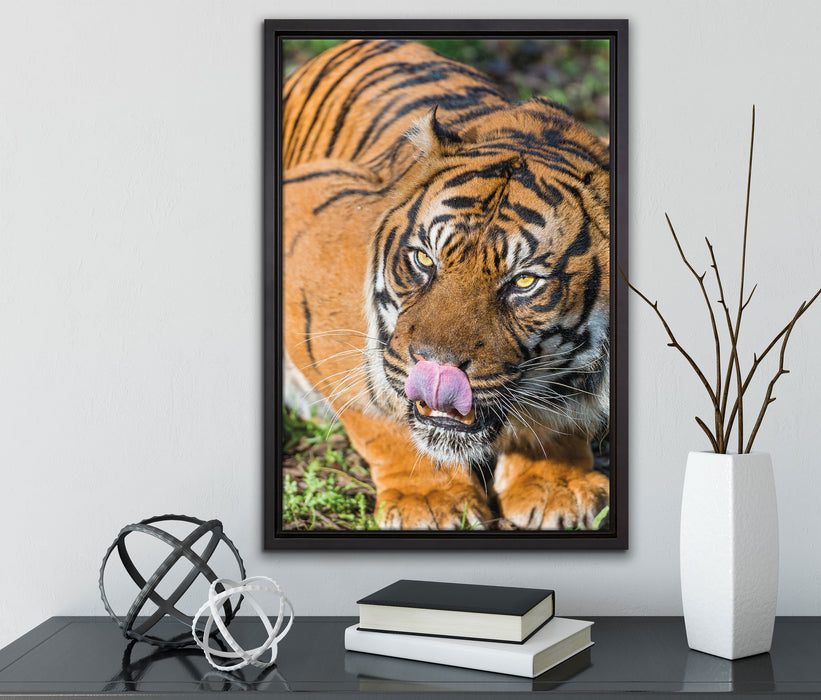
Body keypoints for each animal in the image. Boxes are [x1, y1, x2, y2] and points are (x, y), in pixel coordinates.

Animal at [282, 39, 611, 530]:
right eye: (423, 259)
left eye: (524, 281)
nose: (436, 369)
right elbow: (379, 406)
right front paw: (431, 499)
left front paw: (557, 486)